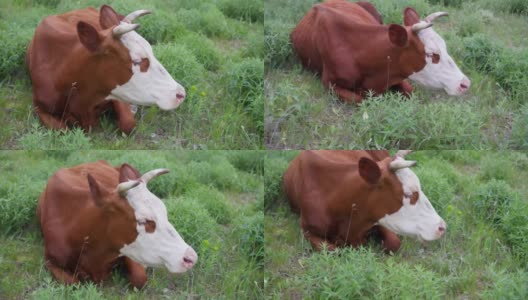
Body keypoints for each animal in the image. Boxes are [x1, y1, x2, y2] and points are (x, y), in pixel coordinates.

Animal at [28, 4, 188, 134]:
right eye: (136, 61)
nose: (181, 93)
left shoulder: (117, 94)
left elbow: (128, 124)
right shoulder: (39, 106)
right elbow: (61, 129)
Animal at [37, 161, 197, 288]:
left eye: (165, 214)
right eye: (143, 221)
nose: (191, 258)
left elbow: (140, 278)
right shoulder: (49, 260)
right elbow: (73, 283)